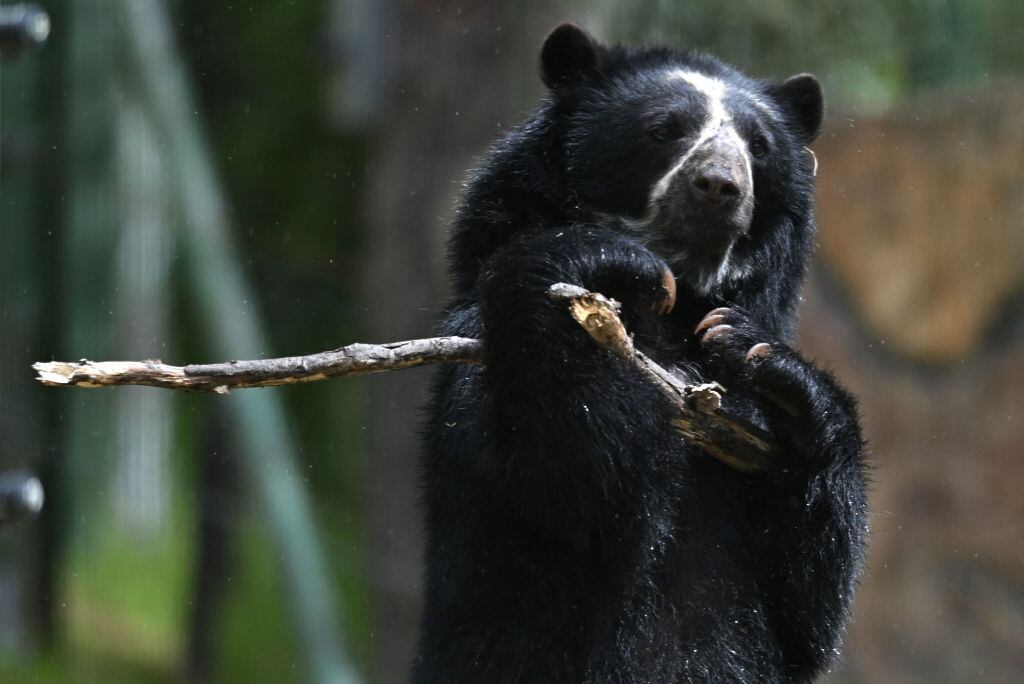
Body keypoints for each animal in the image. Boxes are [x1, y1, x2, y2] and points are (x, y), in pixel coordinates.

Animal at [415, 23, 868, 684]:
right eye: (664, 128)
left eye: (759, 147)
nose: (720, 186)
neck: (675, 316)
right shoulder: (473, 360)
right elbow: (574, 492)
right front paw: (611, 263)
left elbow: (810, 610)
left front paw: (764, 364)